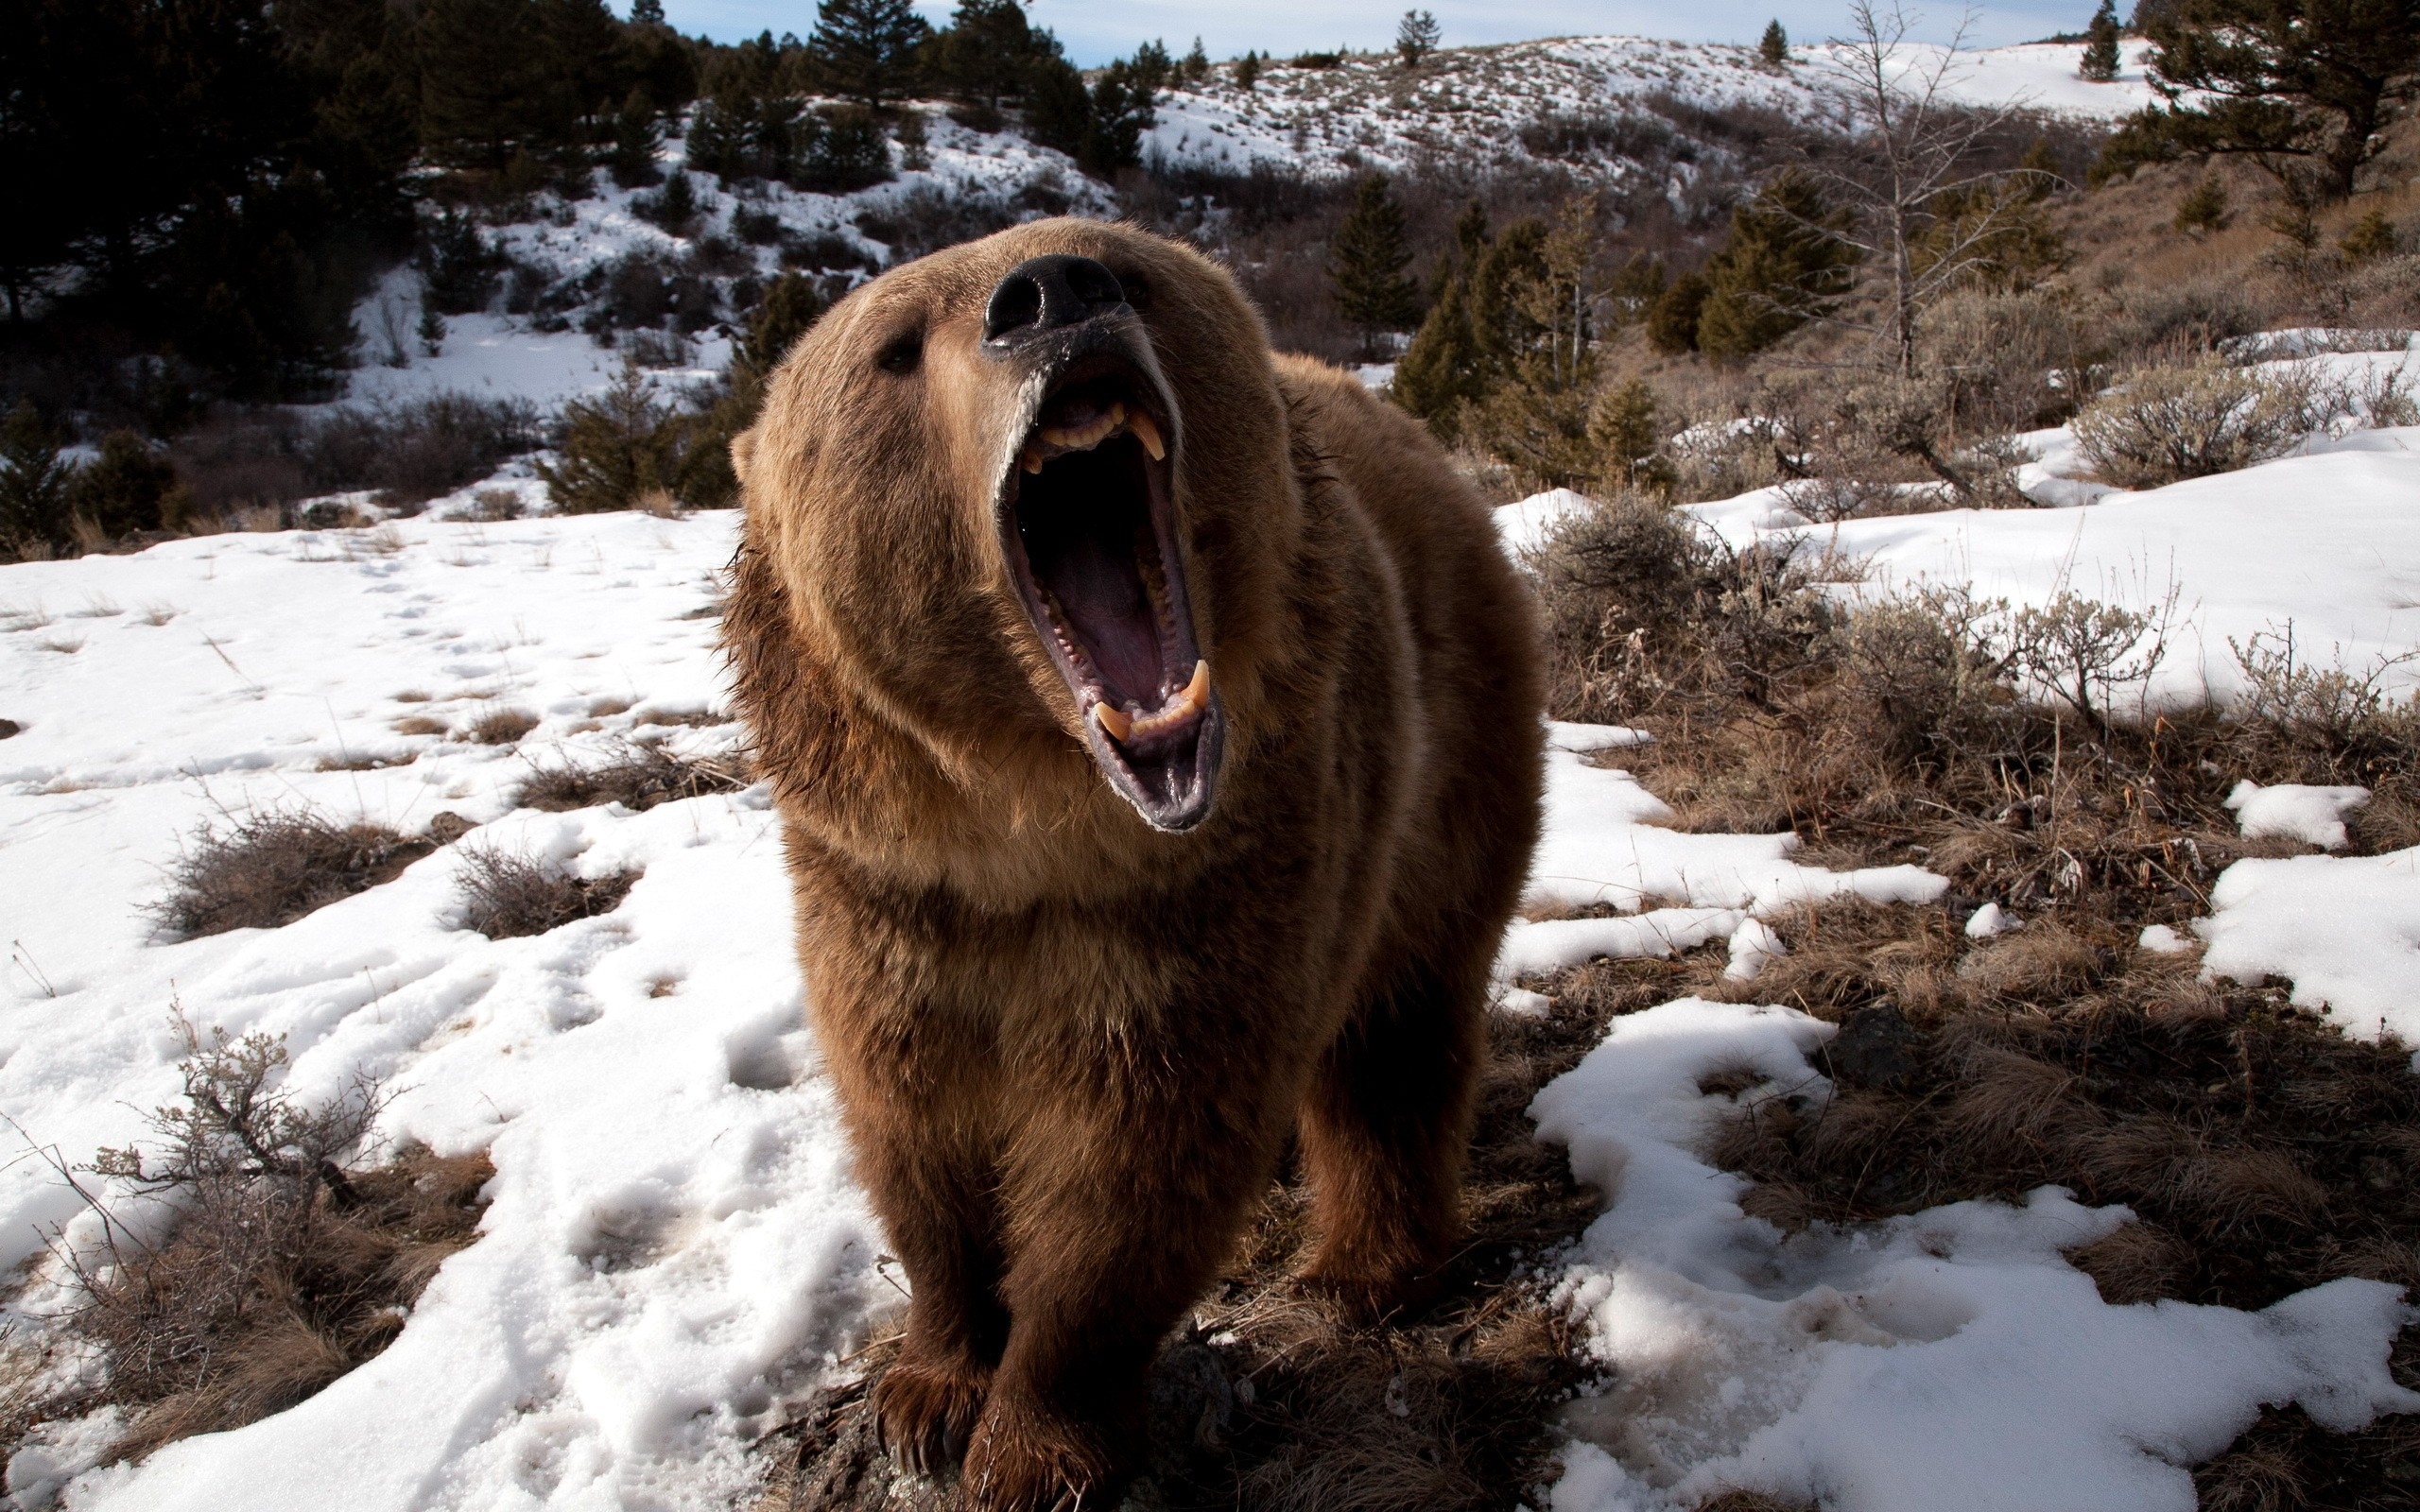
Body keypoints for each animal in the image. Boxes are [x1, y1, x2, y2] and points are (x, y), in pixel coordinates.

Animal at [720, 217, 1548, 1500]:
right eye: (893, 347)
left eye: (1125, 266)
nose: (1052, 295)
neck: (1032, 829)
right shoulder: (885, 892)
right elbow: (913, 1126)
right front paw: (928, 1388)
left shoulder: (1201, 891)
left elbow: (1133, 1161)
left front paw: (1031, 1445)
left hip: (1447, 751)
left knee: (1397, 1026)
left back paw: (1362, 1268)